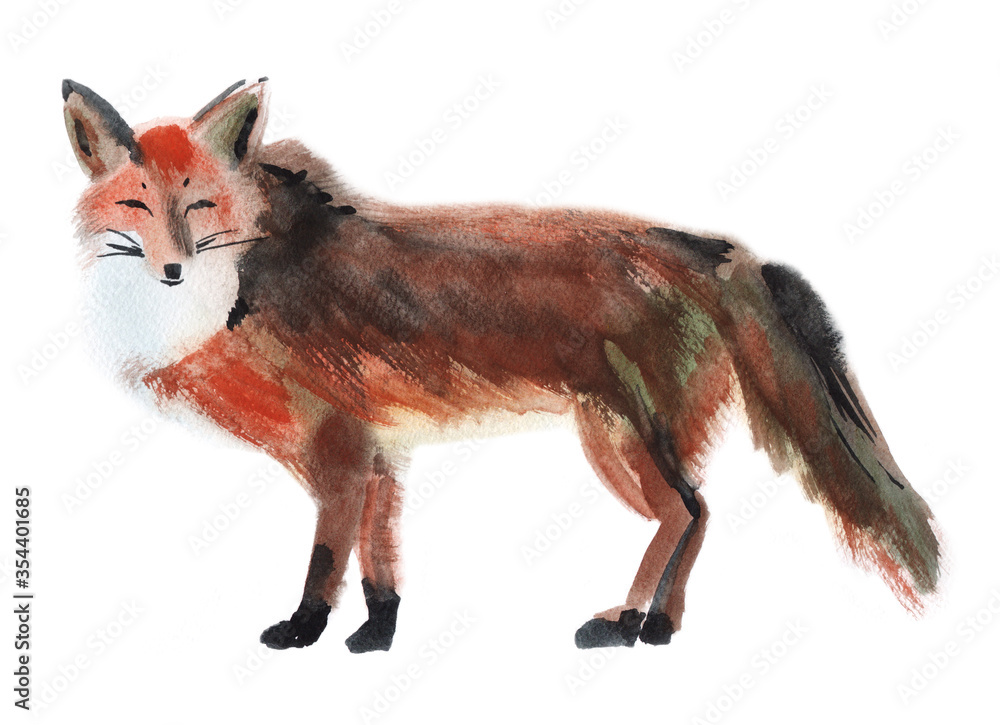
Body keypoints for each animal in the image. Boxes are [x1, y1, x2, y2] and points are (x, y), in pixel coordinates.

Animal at [63, 77, 940, 653]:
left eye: (198, 204)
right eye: (137, 205)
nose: (172, 269)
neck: (234, 286)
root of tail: (716, 249)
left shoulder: (338, 448)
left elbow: (327, 558)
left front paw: (305, 631)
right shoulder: (380, 449)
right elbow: (381, 563)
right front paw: (376, 636)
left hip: (614, 441)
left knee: (684, 513)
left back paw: (628, 622)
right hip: (641, 439)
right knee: (700, 513)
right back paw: (657, 624)